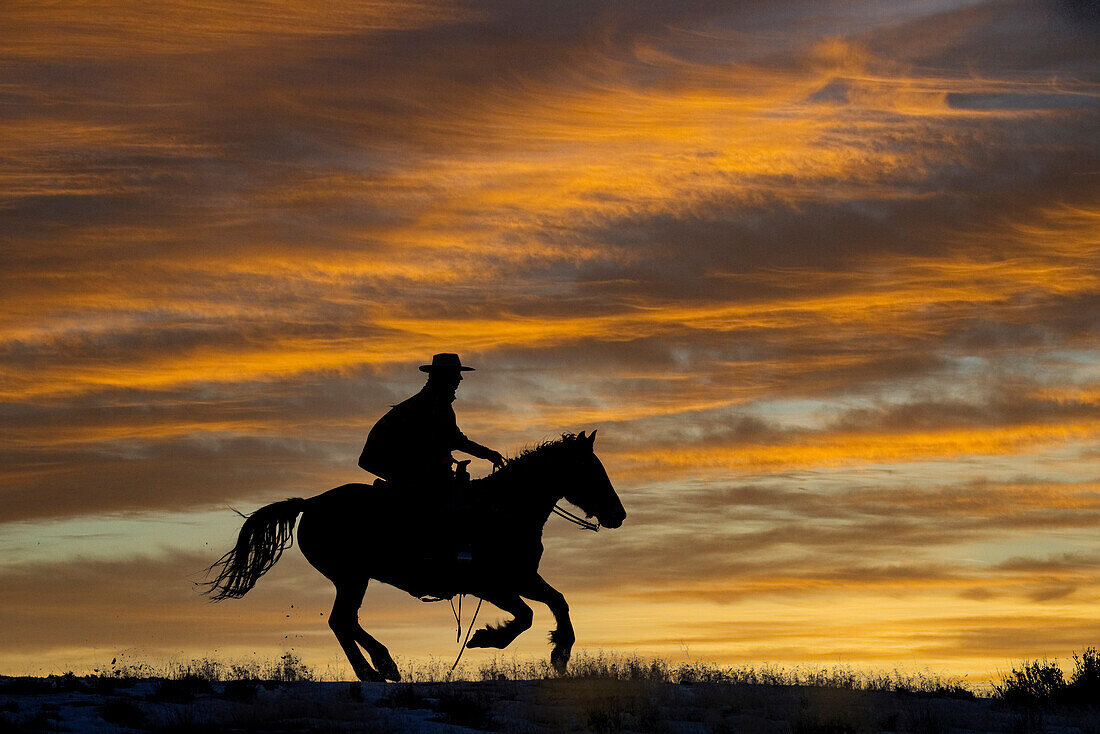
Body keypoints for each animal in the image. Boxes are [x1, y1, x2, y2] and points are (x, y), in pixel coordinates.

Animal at [202, 431, 624, 682]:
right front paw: (485, 639)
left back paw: (379, 667)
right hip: (352, 576)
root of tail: (312, 503)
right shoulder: (490, 585)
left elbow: (558, 602)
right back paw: (379, 667)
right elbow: (526, 616)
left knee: (345, 622)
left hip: (352, 578)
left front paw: (561, 653)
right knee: (342, 621)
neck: (503, 509)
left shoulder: (519, 578)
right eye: (592, 470)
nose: (618, 515)